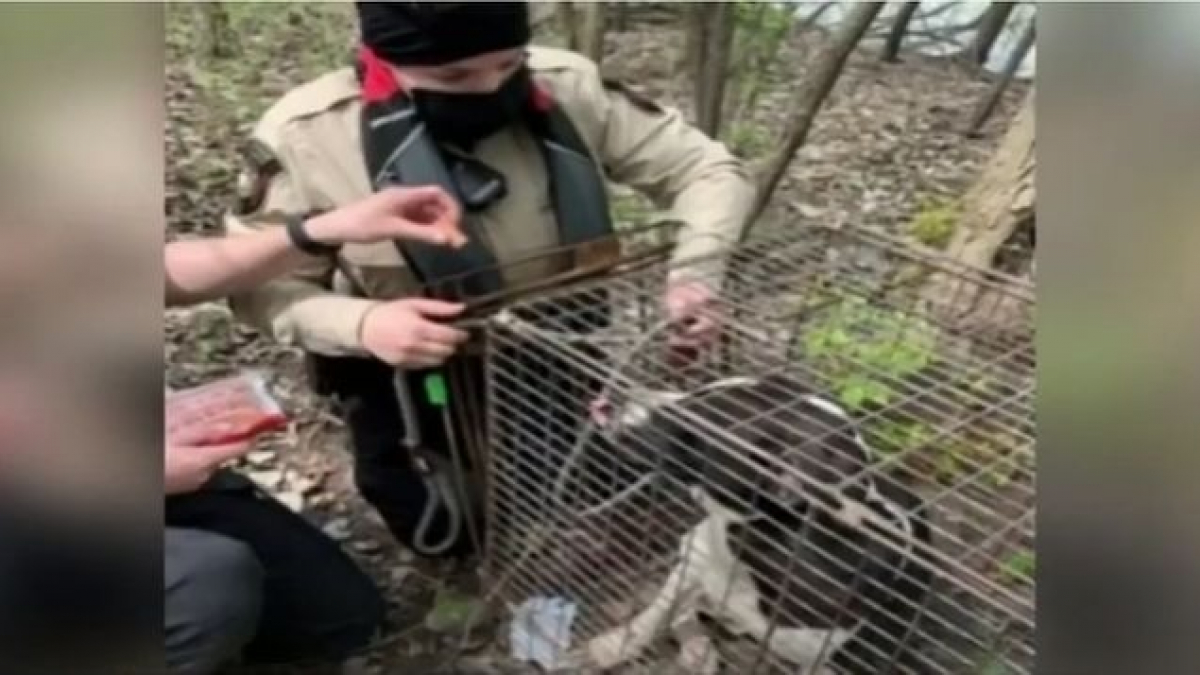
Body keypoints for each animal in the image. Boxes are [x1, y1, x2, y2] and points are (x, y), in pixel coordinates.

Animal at [580, 372, 936, 672]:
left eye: (697, 416)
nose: (610, 392)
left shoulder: (815, 656)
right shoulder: (695, 560)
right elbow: (656, 611)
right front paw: (617, 644)